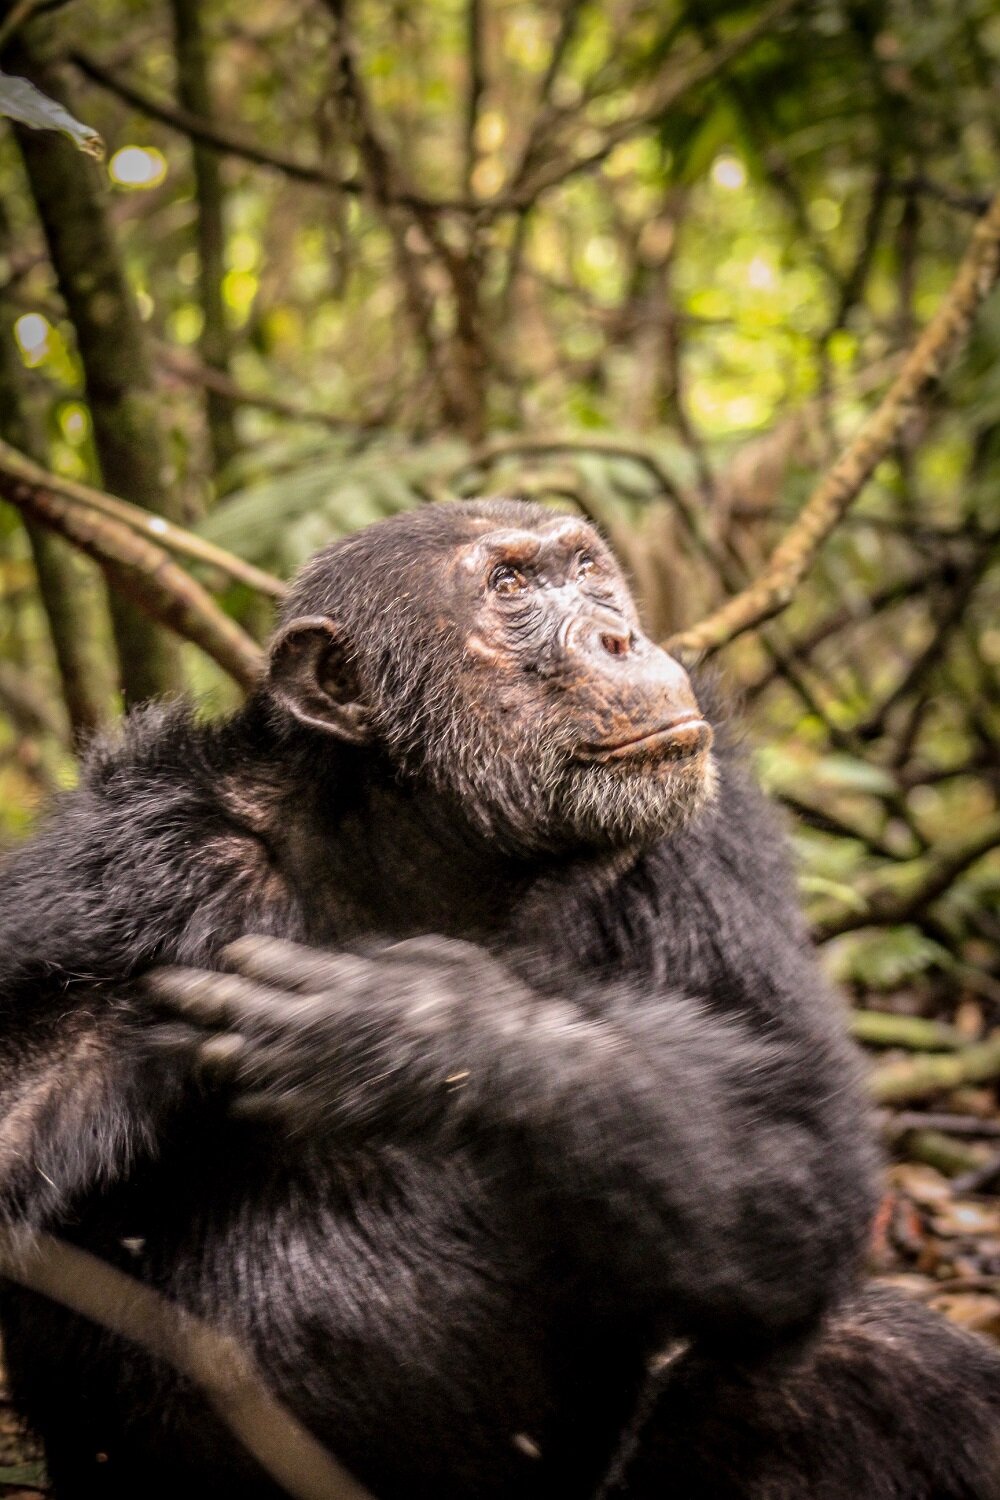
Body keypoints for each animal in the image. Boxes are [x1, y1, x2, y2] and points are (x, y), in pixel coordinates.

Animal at [0, 498, 995, 1494]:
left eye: (589, 571)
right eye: (510, 587)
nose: (619, 635)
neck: (437, 848)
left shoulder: (709, 831)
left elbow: (802, 1146)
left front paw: (417, 1027)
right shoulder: (133, 870)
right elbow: (22, 1106)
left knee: (864, 1355)